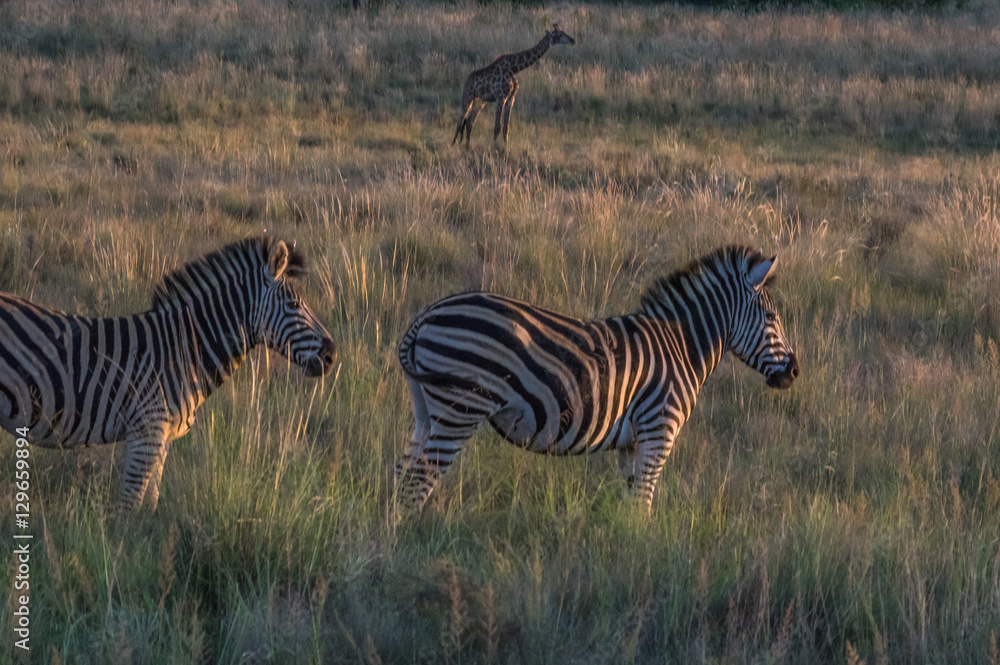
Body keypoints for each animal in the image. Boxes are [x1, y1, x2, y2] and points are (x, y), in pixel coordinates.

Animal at [0, 236, 336, 513]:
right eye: (294, 304)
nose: (332, 355)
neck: (182, 351)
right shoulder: (145, 433)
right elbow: (129, 510)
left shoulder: (160, 440)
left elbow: (149, 505)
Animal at [394, 246, 799, 513]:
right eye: (772, 318)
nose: (794, 372)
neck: (681, 346)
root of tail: (425, 316)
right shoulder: (659, 430)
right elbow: (643, 502)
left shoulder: (632, 442)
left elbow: (631, 502)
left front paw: (625, 550)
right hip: (460, 409)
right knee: (419, 480)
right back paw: (415, 543)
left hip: (425, 408)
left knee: (404, 473)